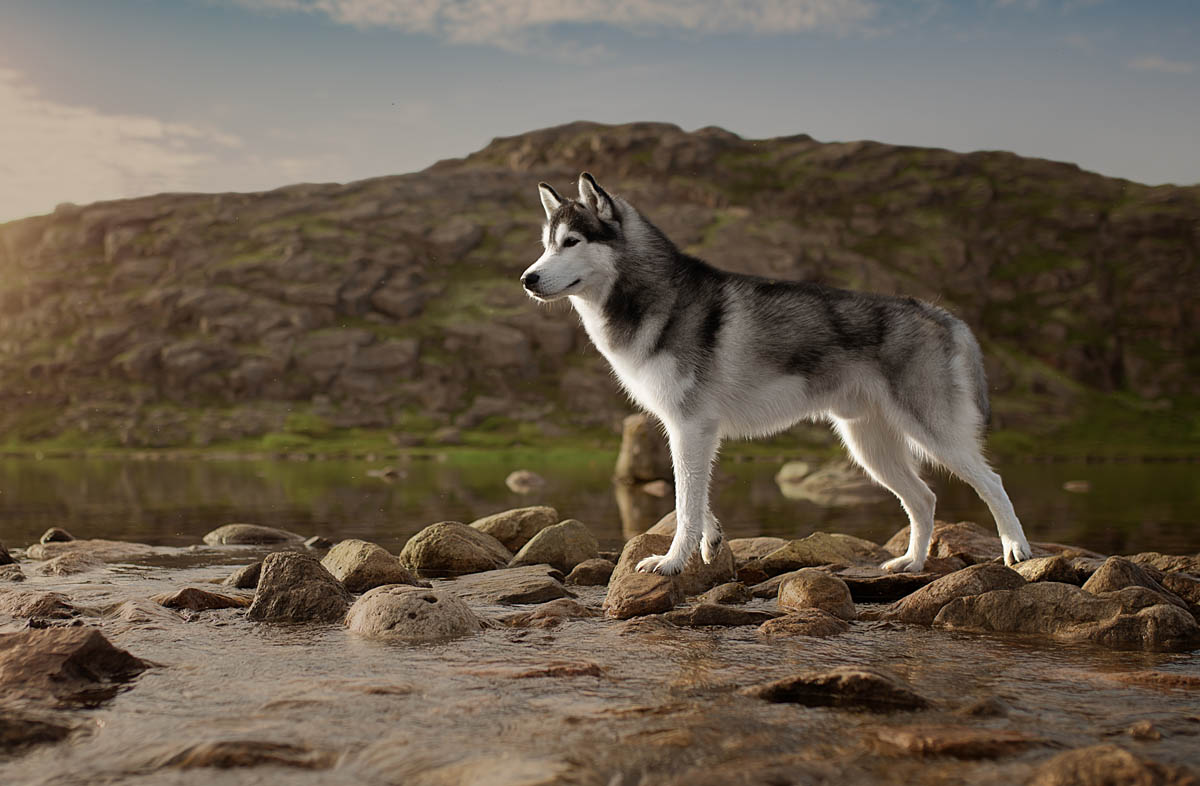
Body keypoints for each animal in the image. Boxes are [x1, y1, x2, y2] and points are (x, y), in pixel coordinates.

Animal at [520, 174, 1036, 578]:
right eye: (546, 244)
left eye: (572, 242)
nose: (527, 278)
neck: (654, 299)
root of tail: (939, 313)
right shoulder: (686, 430)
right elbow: (696, 499)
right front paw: (710, 541)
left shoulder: (691, 427)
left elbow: (684, 506)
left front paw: (670, 563)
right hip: (870, 446)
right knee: (924, 499)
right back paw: (912, 562)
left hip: (934, 433)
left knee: (994, 483)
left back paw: (1016, 550)